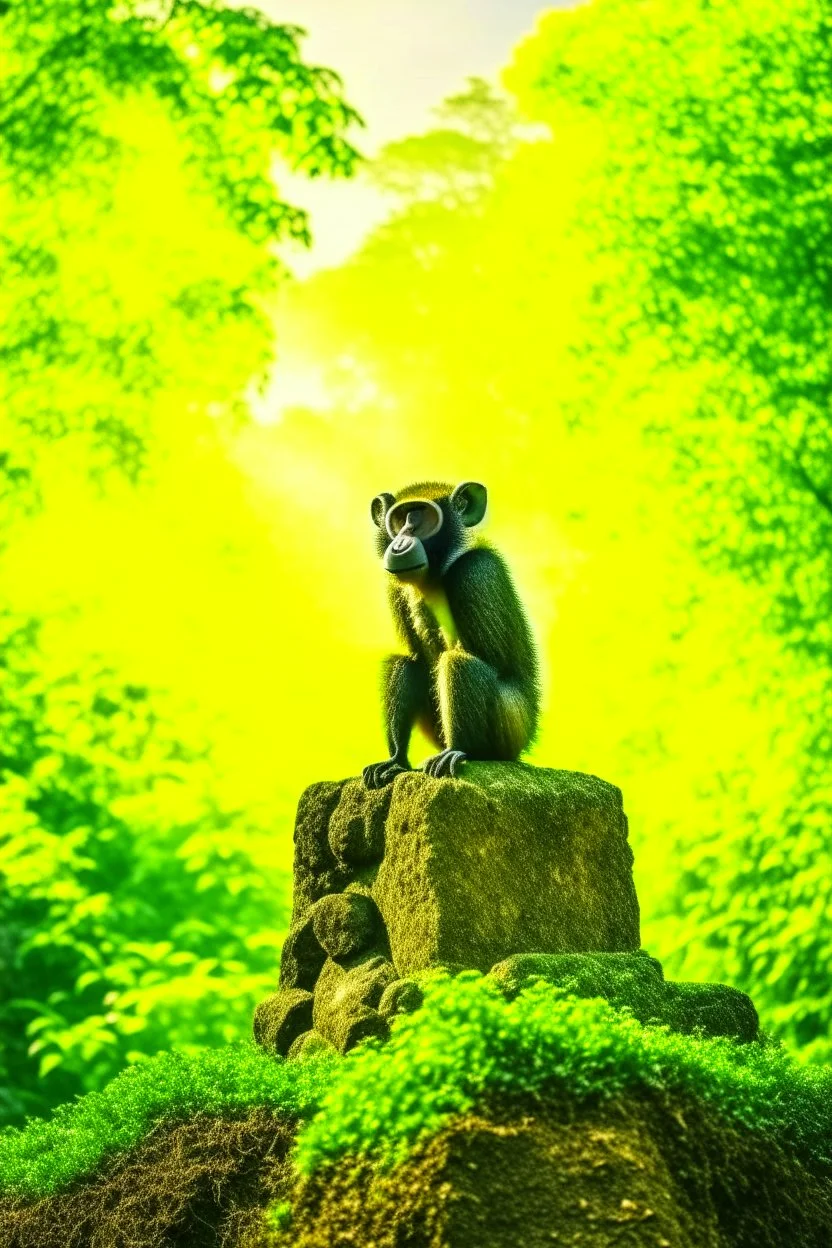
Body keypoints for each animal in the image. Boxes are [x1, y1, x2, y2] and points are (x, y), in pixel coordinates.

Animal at [361, 479, 541, 788]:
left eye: (423, 517)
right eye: (400, 518)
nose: (401, 542)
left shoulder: (476, 571)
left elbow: (486, 658)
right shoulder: (394, 587)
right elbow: (414, 660)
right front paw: (395, 759)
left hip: (513, 729)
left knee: (459, 661)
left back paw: (459, 751)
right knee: (406, 662)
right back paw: (399, 759)